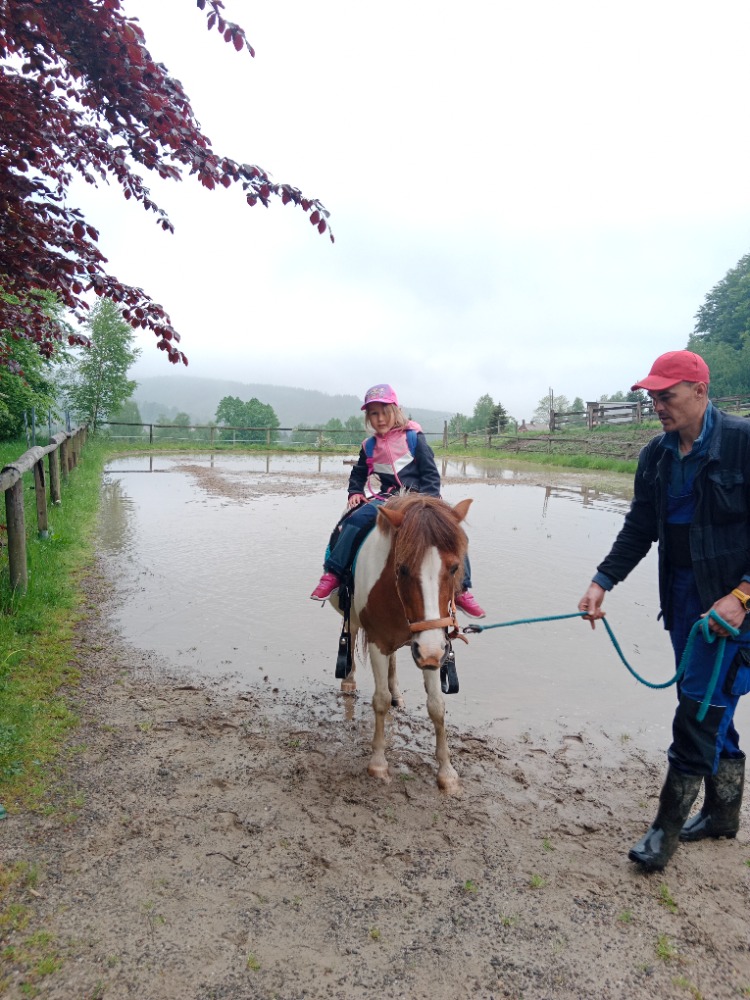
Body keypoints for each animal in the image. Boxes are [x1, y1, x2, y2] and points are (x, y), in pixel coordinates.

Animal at [334, 496, 472, 792]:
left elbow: (437, 705)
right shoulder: (379, 642)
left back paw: (396, 690)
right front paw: (378, 763)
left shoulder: (432, 645)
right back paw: (349, 680)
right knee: (350, 638)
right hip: (353, 619)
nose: (430, 653)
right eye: (402, 568)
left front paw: (447, 772)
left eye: (454, 567)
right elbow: (380, 701)